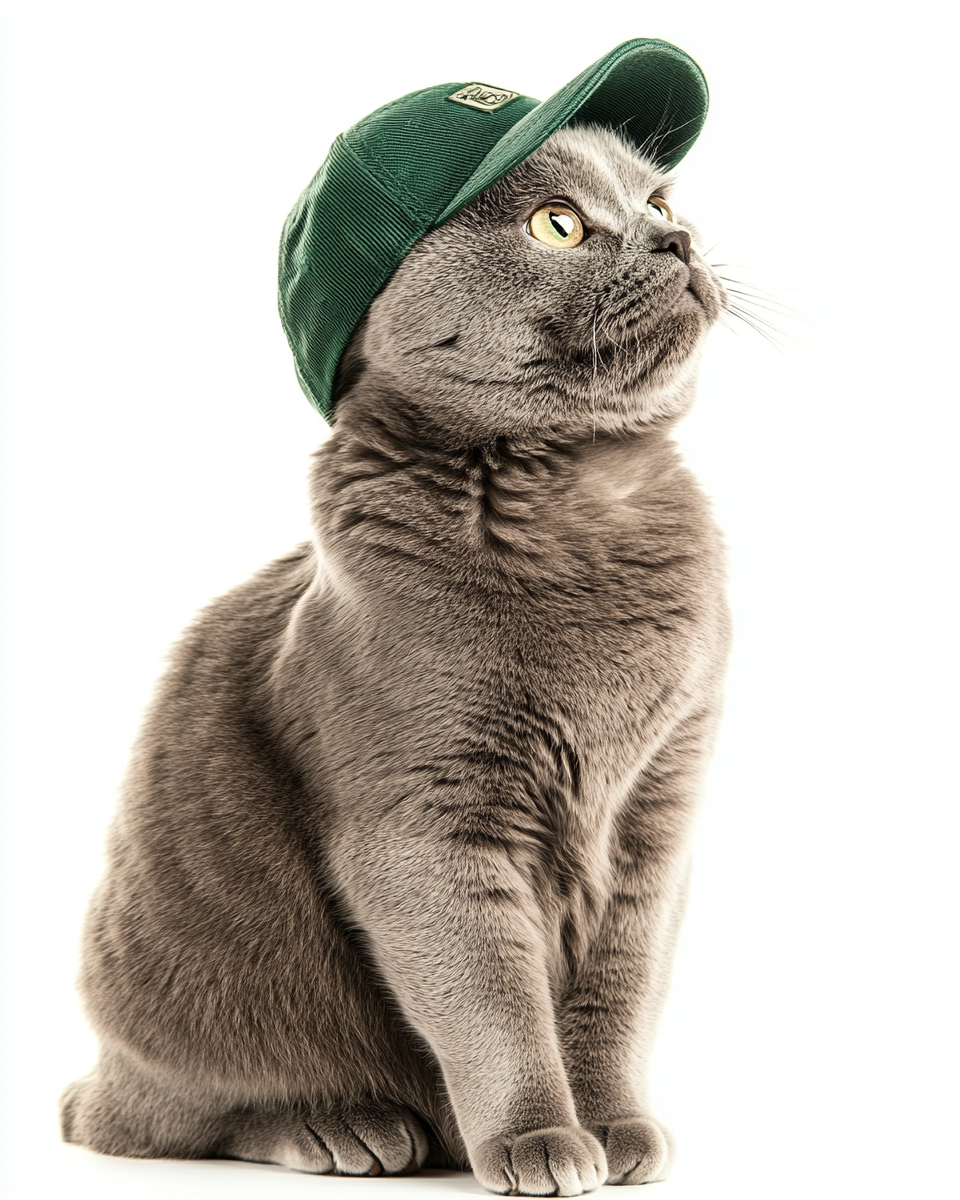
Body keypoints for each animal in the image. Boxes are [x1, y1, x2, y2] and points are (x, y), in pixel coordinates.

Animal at [60, 126, 729, 1195]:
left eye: (661, 203)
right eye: (558, 224)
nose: (679, 241)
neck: (584, 498)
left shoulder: (658, 807)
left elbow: (620, 991)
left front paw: (619, 1126)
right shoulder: (425, 822)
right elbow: (494, 1003)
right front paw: (539, 1139)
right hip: (208, 975)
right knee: (169, 1113)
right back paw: (348, 1125)